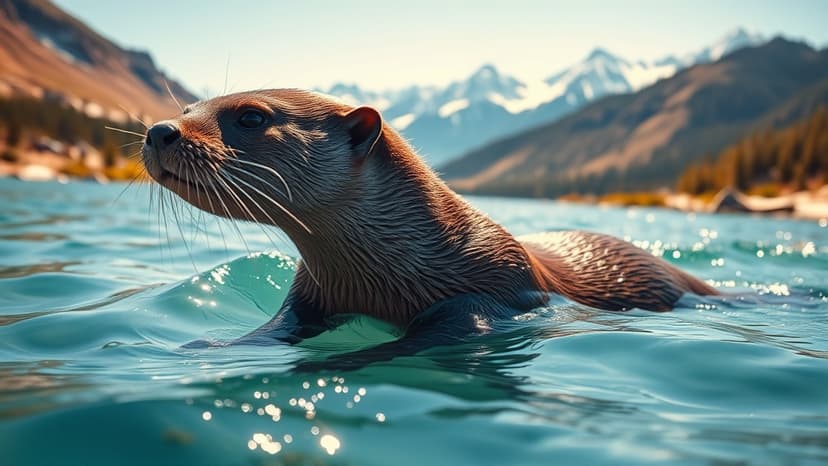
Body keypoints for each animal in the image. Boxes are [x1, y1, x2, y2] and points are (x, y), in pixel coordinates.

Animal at [141, 89, 718, 359]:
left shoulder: (494, 287)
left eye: (252, 117)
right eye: (188, 107)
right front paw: (211, 346)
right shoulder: (312, 291)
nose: (159, 130)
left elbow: (432, 334)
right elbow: (280, 325)